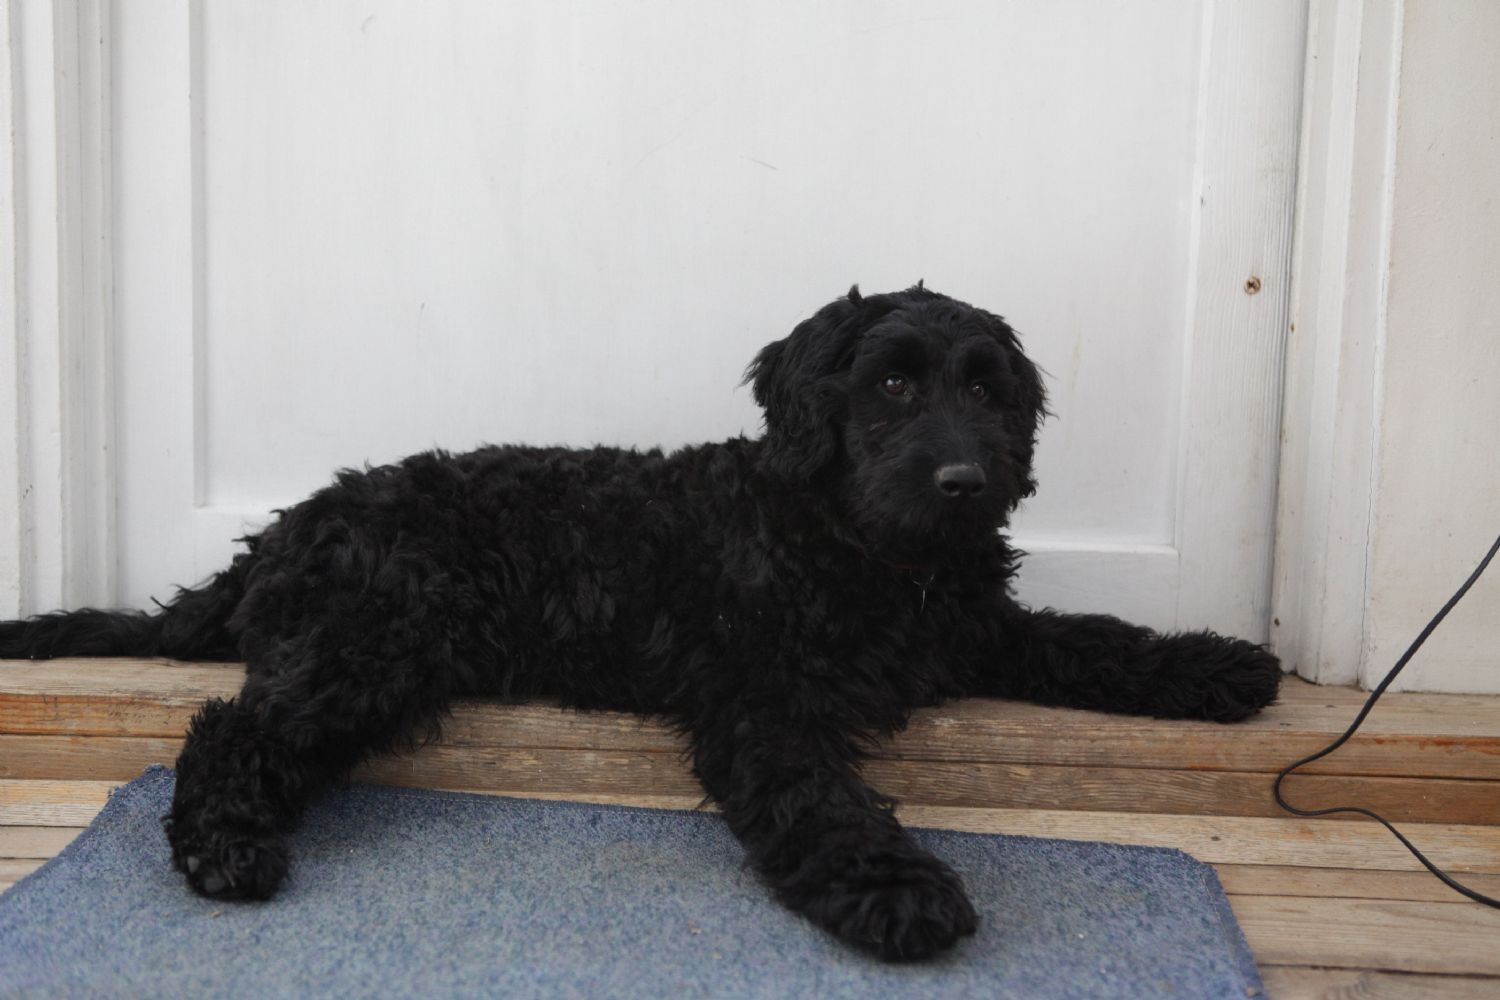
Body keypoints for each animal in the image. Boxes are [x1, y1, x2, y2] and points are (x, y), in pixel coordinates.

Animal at [0, 285, 1281, 961]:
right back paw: (225, 845)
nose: (968, 482)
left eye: (990, 389)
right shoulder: (763, 703)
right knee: (230, 726)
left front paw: (1217, 663)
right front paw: (899, 887)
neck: (862, 553)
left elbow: (1095, 636)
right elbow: (827, 802)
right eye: (892, 382)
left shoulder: (978, 628)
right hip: (371, 645)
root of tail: (283, 528)